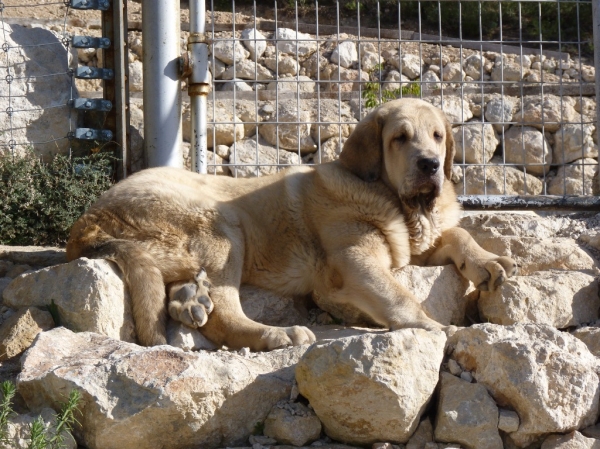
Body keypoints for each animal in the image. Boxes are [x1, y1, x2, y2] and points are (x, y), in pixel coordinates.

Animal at [64, 99, 516, 350]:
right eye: (400, 138)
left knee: (189, 293)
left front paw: (487, 261)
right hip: (222, 227)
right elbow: (400, 297)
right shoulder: (357, 263)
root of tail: (86, 219)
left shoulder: (413, 247)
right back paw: (275, 335)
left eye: (438, 136)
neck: (399, 204)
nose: (430, 166)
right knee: (225, 314)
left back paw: (191, 300)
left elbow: (457, 233)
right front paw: (434, 327)